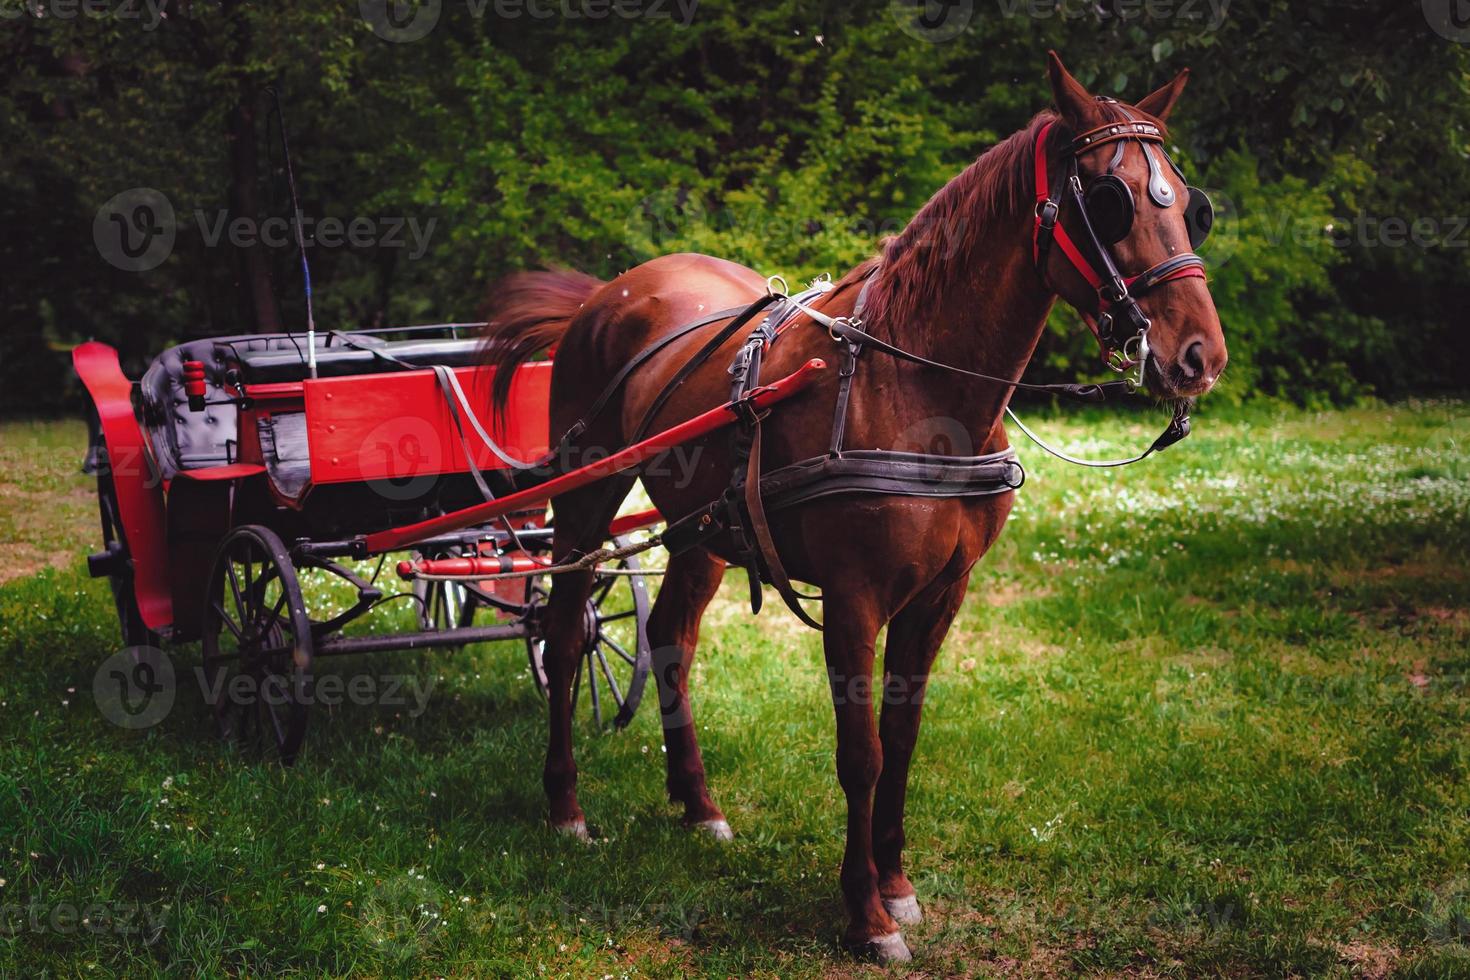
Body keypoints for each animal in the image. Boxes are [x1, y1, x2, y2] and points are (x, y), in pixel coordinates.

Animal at [482, 51, 1228, 957]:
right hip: (587, 492)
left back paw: (699, 804)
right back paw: (566, 807)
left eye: (1190, 204)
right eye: (1109, 200)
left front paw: (897, 885)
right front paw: (865, 913)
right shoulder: (855, 597)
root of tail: (612, 290)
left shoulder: (941, 594)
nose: (1198, 356)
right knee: (563, 632)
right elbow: (861, 752)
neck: (914, 388)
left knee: (671, 642)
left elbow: (903, 739)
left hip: (701, 528)